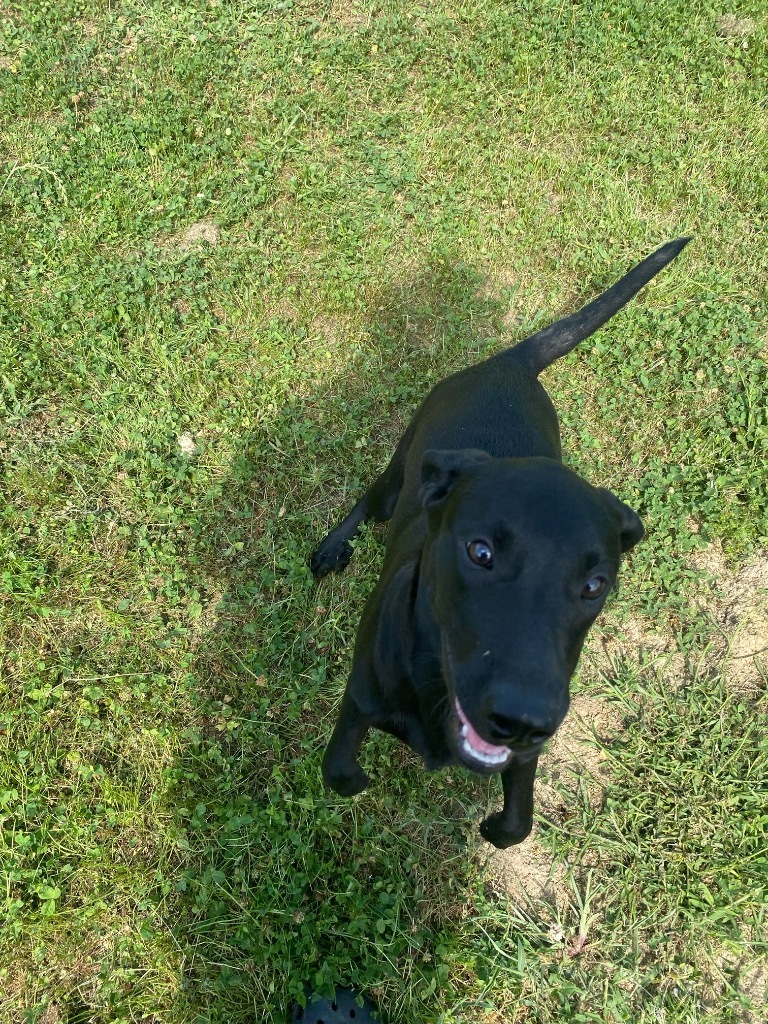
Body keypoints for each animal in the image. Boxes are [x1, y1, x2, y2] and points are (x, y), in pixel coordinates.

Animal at [311, 239, 692, 847]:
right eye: (480, 552)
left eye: (596, 584)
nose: (523, 720)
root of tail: (509, 362)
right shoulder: (358, 700)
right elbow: (341, 772)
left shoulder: (522, 759)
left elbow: (517, 824)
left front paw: (495, 825)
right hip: (400, 470)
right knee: (367, 505)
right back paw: (332, 549)